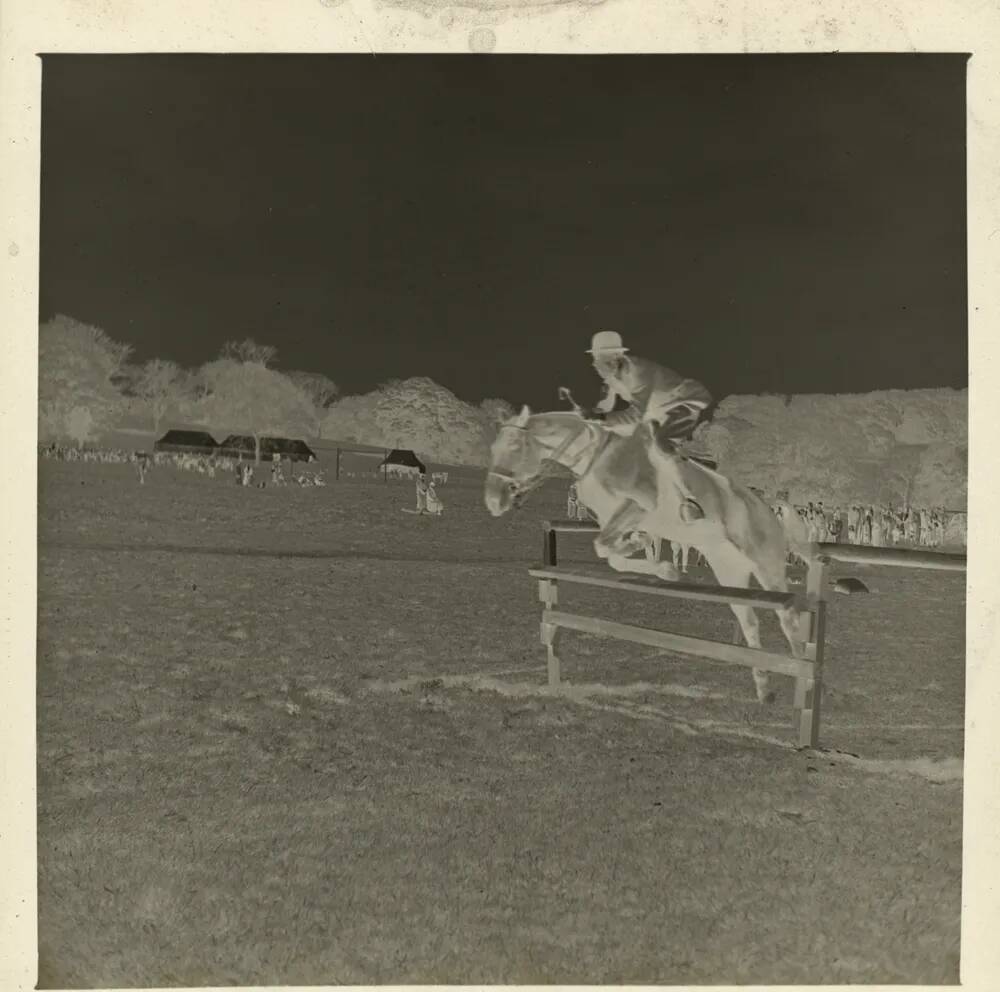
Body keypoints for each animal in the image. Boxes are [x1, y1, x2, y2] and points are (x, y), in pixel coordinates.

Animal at [484, 404, 820, 704]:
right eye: (493, 447)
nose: (493, 501)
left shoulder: (638, 506)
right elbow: (610, 552)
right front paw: (660, 566)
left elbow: (608, 545)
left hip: (767, 564)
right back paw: (764, 689)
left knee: (788, 619)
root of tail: (771, 507)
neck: (595, 457)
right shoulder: (613, 520)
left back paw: (801, 674)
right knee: (750, 621)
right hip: (729, 571)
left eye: (514, 445)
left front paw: (646, 552)